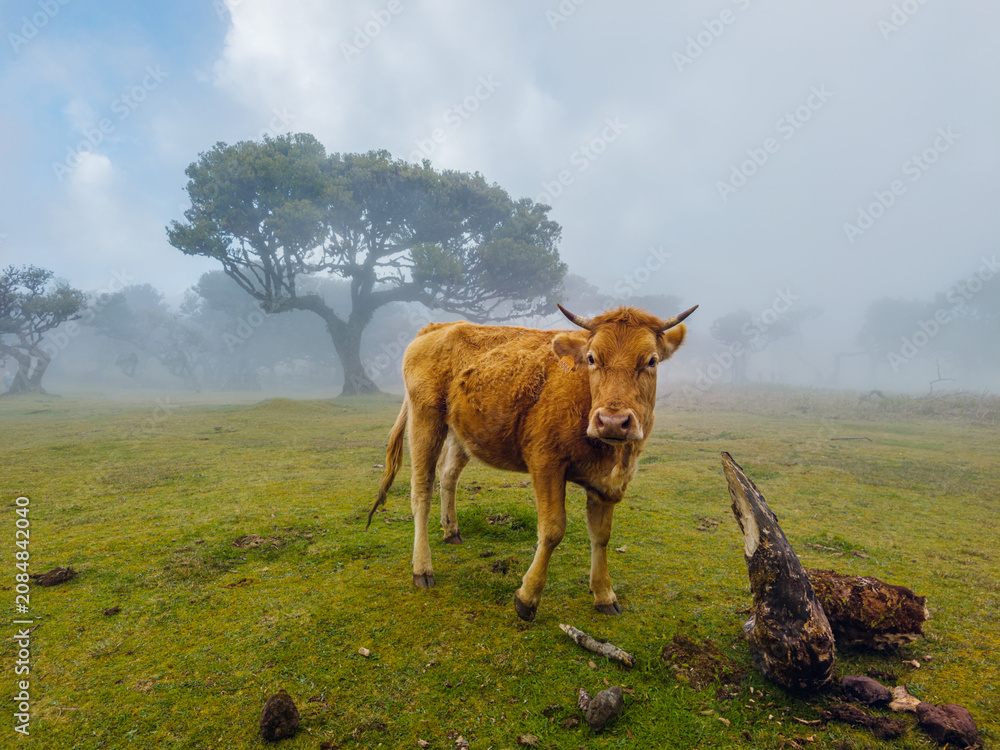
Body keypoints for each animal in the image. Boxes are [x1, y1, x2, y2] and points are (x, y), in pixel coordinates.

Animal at [366, 303, 697, 621]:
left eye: (652, 361)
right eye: (592, 358)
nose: (613, 421)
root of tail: (436, 327)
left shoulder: (606, 484)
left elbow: (601, 536)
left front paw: (604, 594)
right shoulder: (545, 462)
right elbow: (552, 530)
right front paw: (527, 597)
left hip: (461, 432)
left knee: (448, 475)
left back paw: (451, 531)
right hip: (425, 420)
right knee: (422, 490)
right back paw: (422, 568)